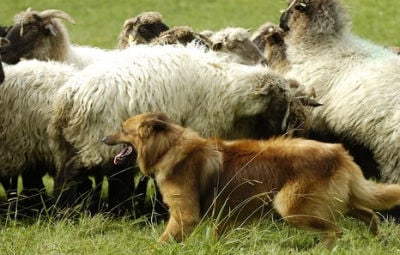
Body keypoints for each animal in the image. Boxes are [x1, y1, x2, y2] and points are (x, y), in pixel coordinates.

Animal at [47, 44, 314, 212]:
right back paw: (66, 211)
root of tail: (68, 99)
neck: (228, 90)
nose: (284, 133)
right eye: (279, 103)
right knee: (71, 173)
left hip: (76, 143)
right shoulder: (202, 128)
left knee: (70, 174)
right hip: (95, 143)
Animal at [103, 112, 400, 247]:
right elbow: (215, 236)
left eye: (122, 129)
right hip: (335, 200)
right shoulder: (223, 215)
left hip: (291, 207)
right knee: (368, 212)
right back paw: (378, 240)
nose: (103, 139)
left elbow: (163, 240)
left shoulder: (185, 215)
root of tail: (339, 152)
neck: (168, 147)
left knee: (336, 230)